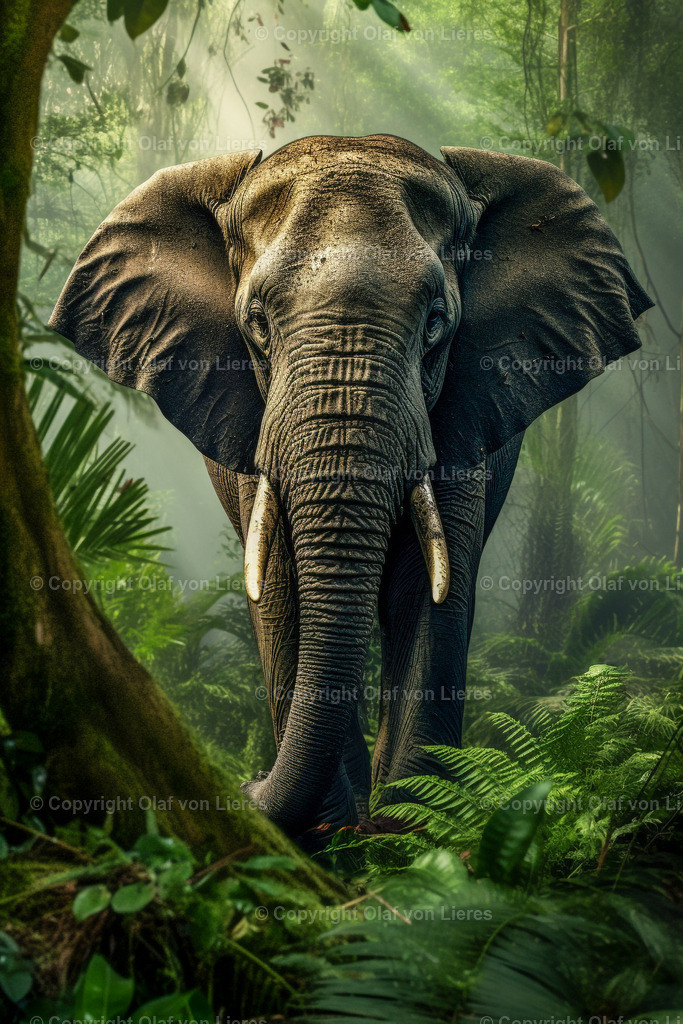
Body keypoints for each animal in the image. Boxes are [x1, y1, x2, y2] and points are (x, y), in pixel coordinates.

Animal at [49, 134, 652, 847]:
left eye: (435, 322)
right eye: (257, 323)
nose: (247, 784)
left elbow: (431, 589)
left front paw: (408, 836)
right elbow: (280, 588)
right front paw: (331, 837)